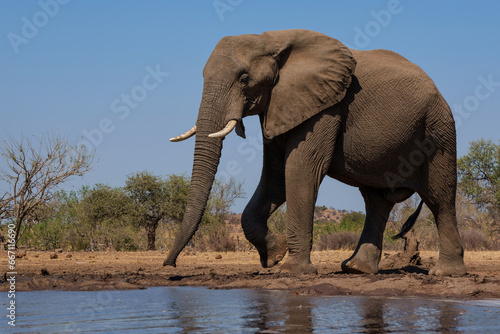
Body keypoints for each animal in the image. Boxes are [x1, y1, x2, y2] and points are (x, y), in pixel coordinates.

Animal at [166, 28, 466, 276]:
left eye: (244, 79)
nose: (171, 266)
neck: (272, 40)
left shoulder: (325, 107)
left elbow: (299, 170)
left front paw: (290, 271)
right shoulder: (281, 104)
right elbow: (275, 177)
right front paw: (275, 255)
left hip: (438, 130)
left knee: (439, 197)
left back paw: (445, 273)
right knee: (376, 201)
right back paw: (356, 269)